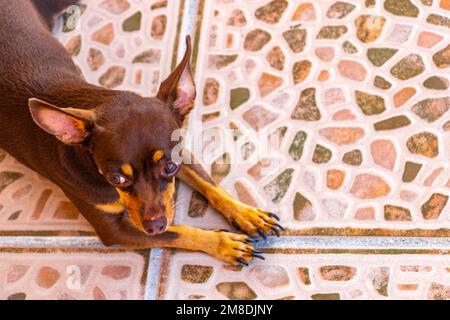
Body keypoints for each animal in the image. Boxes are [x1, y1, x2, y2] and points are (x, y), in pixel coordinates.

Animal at [0, 0, 282, 264]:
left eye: (170, 167)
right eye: (116, 179)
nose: (154, 226)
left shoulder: (180, 151)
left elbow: (210, 184)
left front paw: (246, 214)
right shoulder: (115, 230)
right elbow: (179, 232)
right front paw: (222, 243)